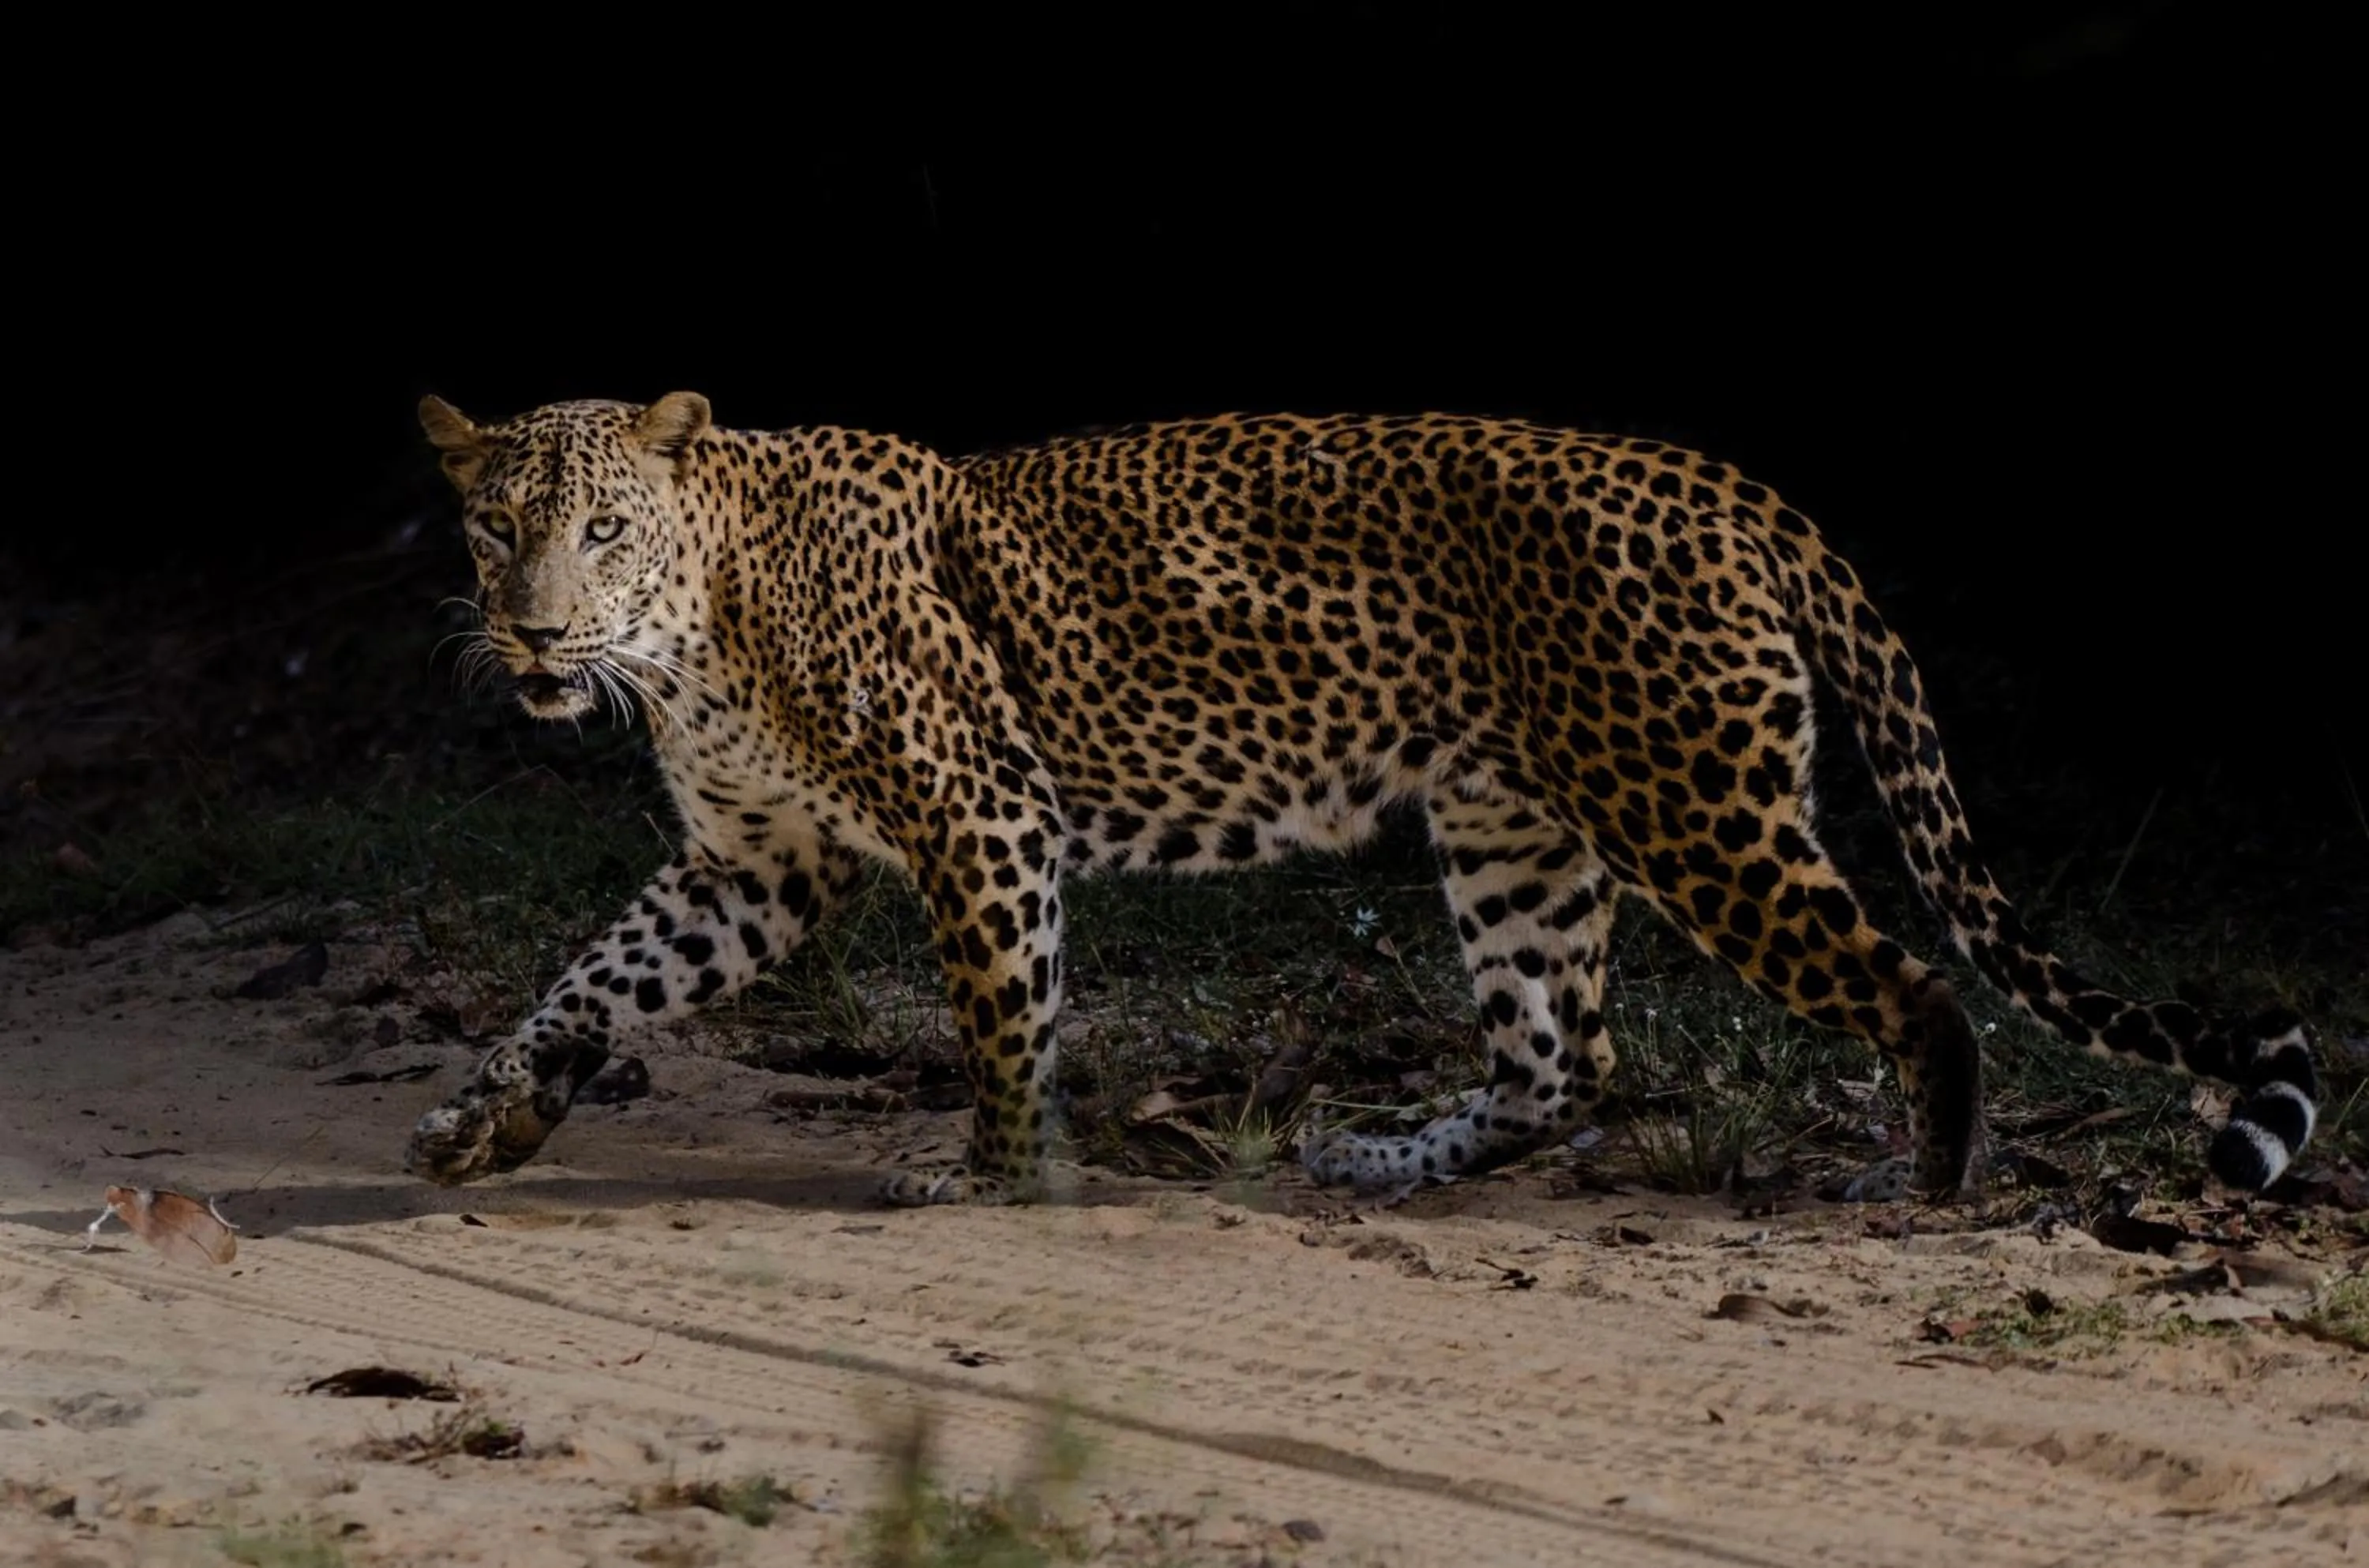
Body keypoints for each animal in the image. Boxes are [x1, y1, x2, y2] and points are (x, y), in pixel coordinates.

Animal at [404, 393, 2318, 1206]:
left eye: (605, 530)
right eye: (498, 528)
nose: (535, 629)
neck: (697, 631)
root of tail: (1731, 486)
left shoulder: (981, 815)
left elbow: (1004, 1017)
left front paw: (995, 1173)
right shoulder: (757, 865)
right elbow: (589, 981)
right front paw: (493, 1116)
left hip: (1699, 812)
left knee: (1918, 989)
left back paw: (1916, 1186)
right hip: (1516, 834)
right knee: (1565, 1062)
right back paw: (1388, 1156)